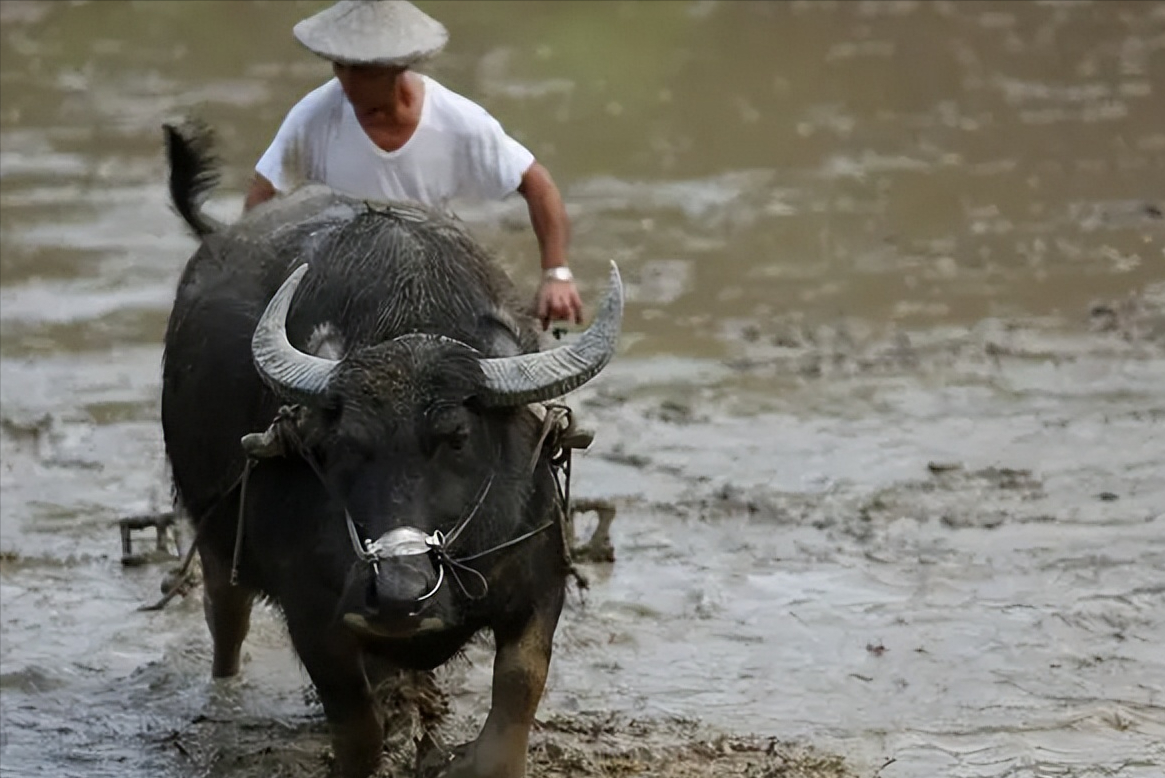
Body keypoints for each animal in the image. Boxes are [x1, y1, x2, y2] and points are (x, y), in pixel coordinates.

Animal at [159, 121, 624, 778]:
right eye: (344, 444)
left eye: (457, 437)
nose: (401, 590)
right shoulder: (314, 615)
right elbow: (358, 727)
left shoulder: (539, 585)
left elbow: (517, 694)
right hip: (218, 534)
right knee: (226, 614)